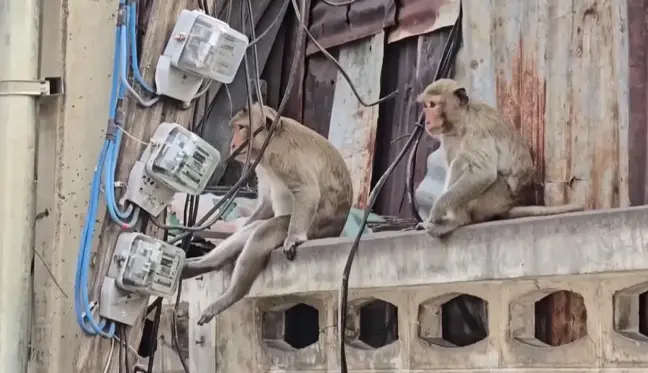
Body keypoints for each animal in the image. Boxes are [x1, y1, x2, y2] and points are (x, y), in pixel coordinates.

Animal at [180, 102, 352, 326]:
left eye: (242, 128)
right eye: (236, 128)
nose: (233, 145)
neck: (273, 139)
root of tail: (338, 229)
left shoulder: (285, 154)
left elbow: (307, 191)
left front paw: (294, 238)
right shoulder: (260, 160)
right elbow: (267, 204)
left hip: (316, 226)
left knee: (263, 233)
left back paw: (232, 295)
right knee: (253, 229)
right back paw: (200, 265)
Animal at [416, 78, 584, 237]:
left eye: (433, 105)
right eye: (426, 105)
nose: (427, 120)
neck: (462, 119)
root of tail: (506, 207)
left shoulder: (477, 129)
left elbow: (483, 173)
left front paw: (437, 210)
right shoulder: (448, 136)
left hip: (495, 198)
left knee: (462, 161)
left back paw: (457, 220)